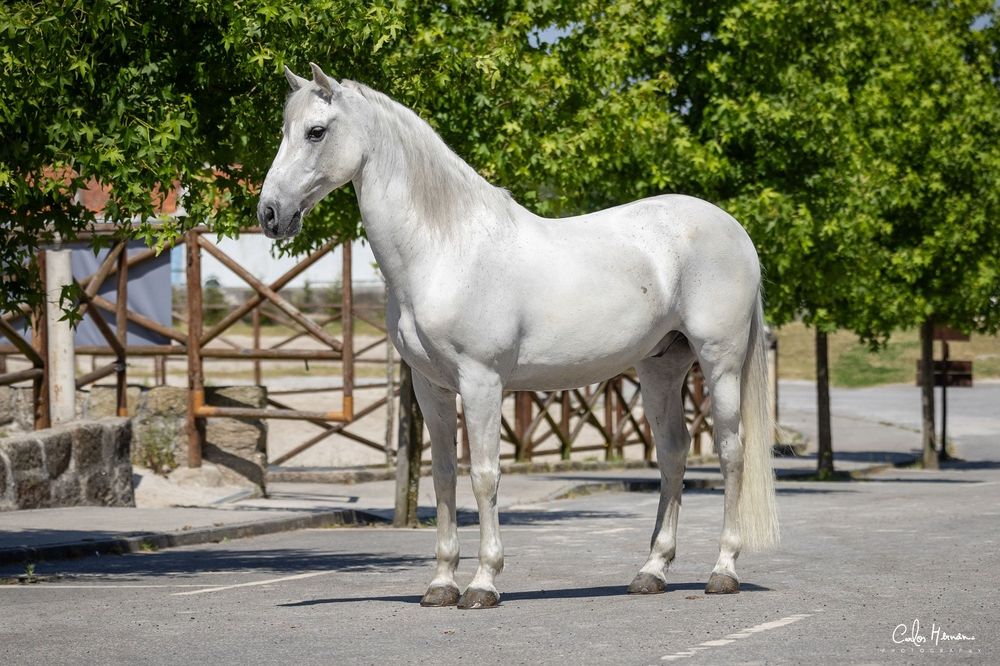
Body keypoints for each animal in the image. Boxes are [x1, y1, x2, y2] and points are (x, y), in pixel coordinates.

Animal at [258, 63, 779, 609]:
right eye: (283, 132)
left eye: (316, 132)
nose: (269, 214)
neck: (446, 249)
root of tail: (735, 230)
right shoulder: (431, 387)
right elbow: (443, 475)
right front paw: (440, 583)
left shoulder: (481, 382)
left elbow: (485, 475)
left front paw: (483, 583)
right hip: (661, 367)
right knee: (674, 452)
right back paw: (651, 572)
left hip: (719, 362)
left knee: (731, 452)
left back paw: (723, 571)